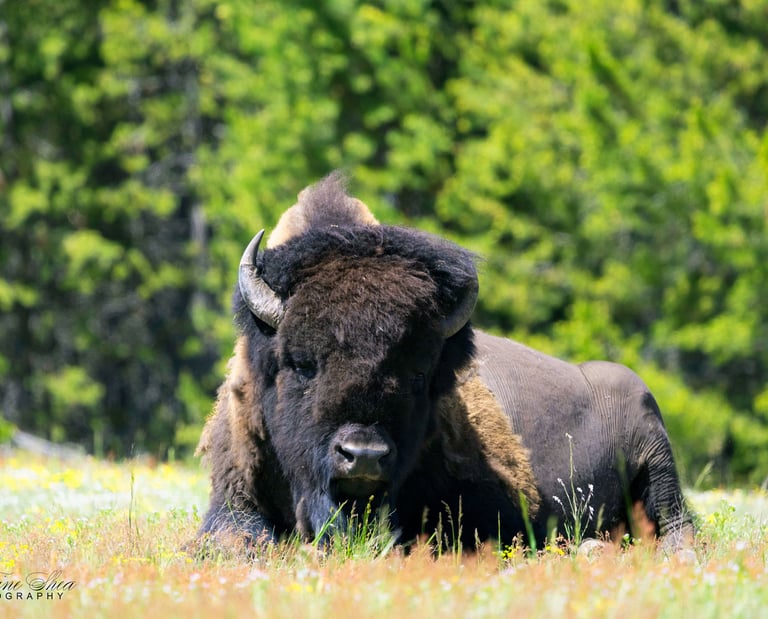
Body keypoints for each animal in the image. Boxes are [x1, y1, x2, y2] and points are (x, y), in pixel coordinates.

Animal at [196, 172, 694, 552]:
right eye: (301, 363)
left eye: (419, 373)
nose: (363, 456)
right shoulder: (234, 498)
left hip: (657, 458)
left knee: (677, 528)